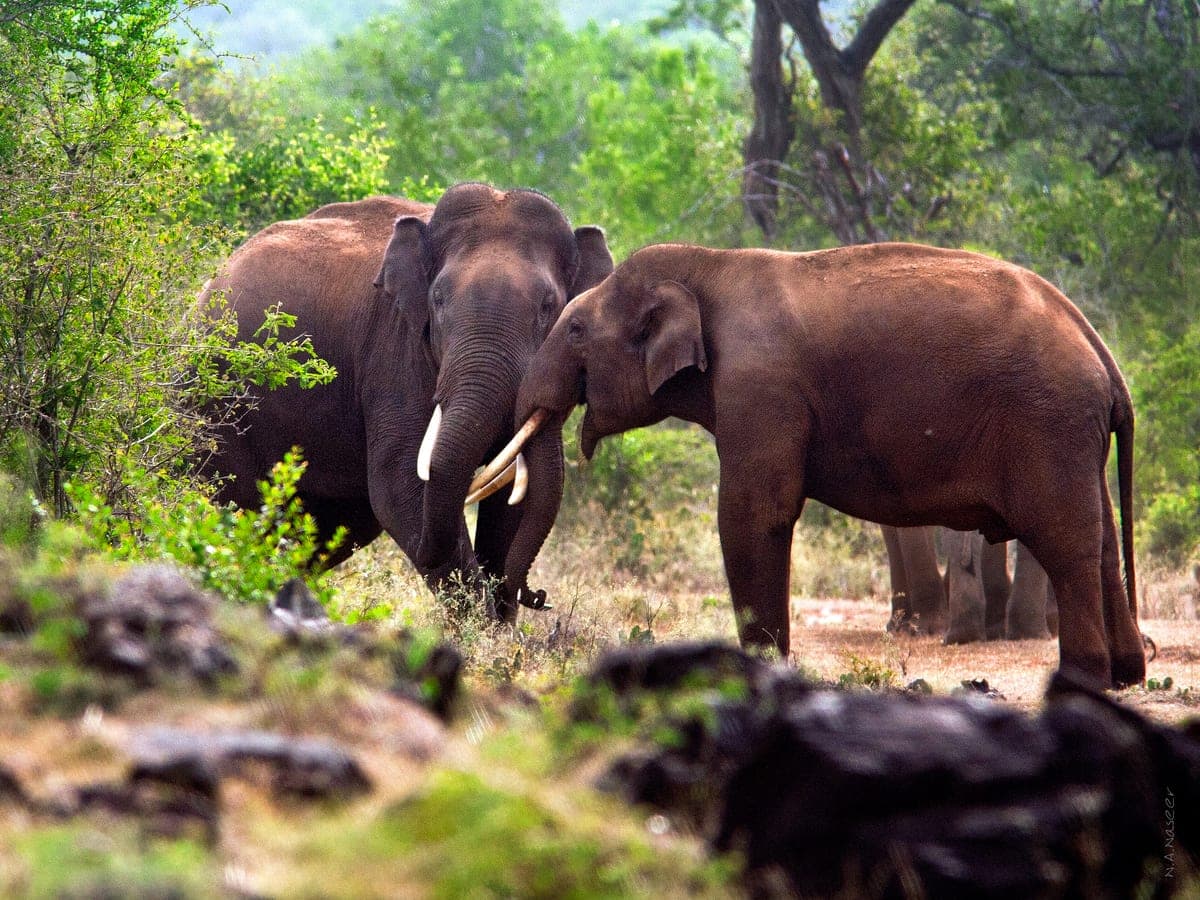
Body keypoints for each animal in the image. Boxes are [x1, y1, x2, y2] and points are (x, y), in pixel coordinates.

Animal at [198, 183, 613, 618]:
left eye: (549, 306)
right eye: (439, 300)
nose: (540, 597)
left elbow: (514, 495)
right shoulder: (396, 350)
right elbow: (399, 485)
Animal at [499, 241, 1145, 688]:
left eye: (575, 328)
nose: (534, 598)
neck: (708, 266)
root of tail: (1103, 356)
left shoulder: (762, 388)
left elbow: (753, 515)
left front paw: (761, 674)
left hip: (1047, 422)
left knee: (1064, 539)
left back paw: (1084, 679)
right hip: (1072, 435)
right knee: (1102, 535)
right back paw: (1127, 674)